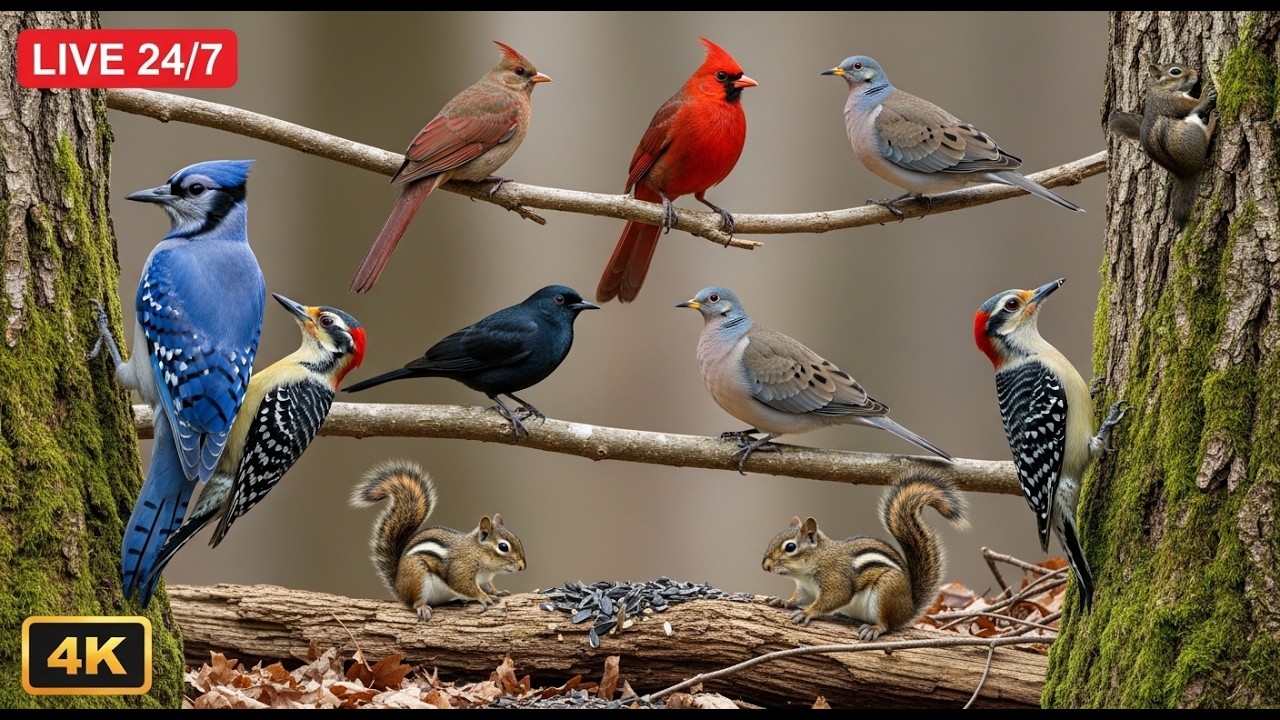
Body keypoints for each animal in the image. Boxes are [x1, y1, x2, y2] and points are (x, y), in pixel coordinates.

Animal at [349, 459, 527, 622]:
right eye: (503, 547)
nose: (522, 567)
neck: (476, 554)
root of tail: (398, 586)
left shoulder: (485, 580)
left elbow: (489, 587)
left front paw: (498, 592)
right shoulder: (459, 570)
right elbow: (466, 587)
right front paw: (484, 597)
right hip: (417, 577)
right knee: (414, 602)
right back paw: (422, 607)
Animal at [761, 470, 968, 641]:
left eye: (790, 547)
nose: (765, 566)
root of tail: (909, 608)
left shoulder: (836, 580)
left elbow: (833, 599)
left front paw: (807, 613)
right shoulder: (806, 589)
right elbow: (798, 598)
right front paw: (783, 601)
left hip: (886, 590)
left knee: (887, 624)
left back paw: (874, 628)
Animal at [1108, 55, 1218, 228]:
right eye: (1175, 71)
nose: (1195, 72)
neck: (1159, 89)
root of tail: (1187, 172)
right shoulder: (1173, 102)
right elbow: (1194, 105)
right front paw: (1206, 94)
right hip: (1190, 131)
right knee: (1205, 139)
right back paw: (1212, 122)